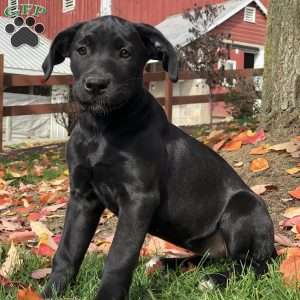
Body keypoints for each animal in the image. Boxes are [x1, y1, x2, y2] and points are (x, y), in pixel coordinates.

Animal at [41, 17, 274, 300]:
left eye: (125, 53)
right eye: (81, 50)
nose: (95, 84)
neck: (103, 128)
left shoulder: (139, 199)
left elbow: (119, 256)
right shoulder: (82, 196)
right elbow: (67, 251)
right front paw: (51, 291)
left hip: (244, 206)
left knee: (253, 265)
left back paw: (214, 280)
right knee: (214, 257)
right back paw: (165, 263)